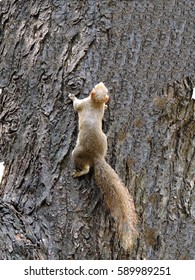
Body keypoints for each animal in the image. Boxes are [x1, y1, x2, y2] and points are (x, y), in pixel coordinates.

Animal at [68, 81, 137, 249]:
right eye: (103, 90)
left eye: (95, 88)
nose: (101, 82)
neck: (95, 103)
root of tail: (97, 157)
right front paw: (106, 107)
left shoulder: (83, 104)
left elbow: (76, 105)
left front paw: (72, 96)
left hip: (77, 153)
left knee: (86, 168)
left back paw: (78, 172)